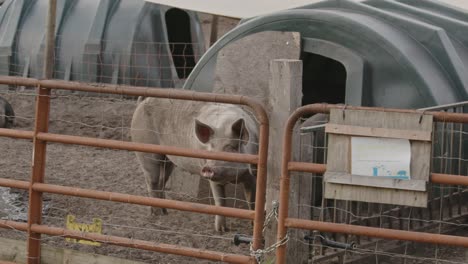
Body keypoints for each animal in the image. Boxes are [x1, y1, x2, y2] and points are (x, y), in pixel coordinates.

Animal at [130, 97, 258, 231]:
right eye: (210, 148)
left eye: (231, 148)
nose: (207, 168)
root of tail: (142, 102)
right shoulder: (214, 179)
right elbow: (220, 201)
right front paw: (221, 231)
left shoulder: (253, 174)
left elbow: (252, 200)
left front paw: (252, 226)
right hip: (145, 150)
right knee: (152, 181)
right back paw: (157, 214)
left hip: (168, 160)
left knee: (161, 181)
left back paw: (165, 211)